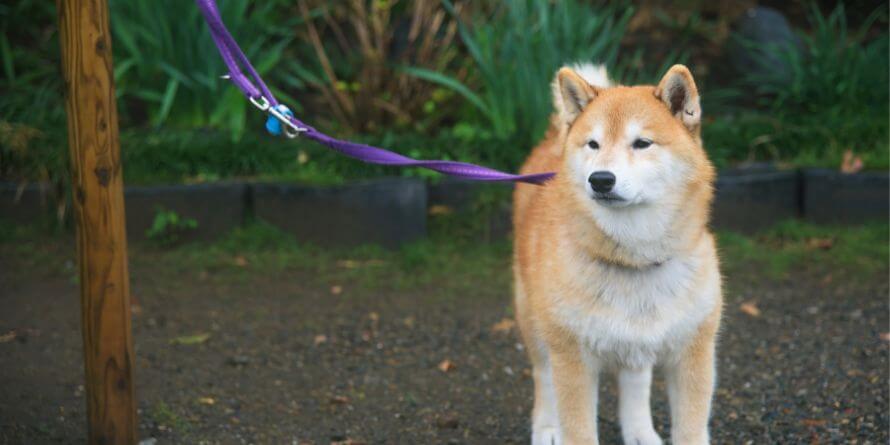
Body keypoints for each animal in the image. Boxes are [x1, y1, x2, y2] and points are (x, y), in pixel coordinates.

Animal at [512, 63, 720, 444]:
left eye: (641, 143)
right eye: (593, 144)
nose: (600, 179)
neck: (635, 259)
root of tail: (553, 139)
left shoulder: (694, 352)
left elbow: (690, 429)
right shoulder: (572, 358)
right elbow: (577, 429)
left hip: (636, 342)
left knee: (635, 380)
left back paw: (640, 432)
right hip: (535, 321)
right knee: (543, 375)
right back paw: (547, 427)